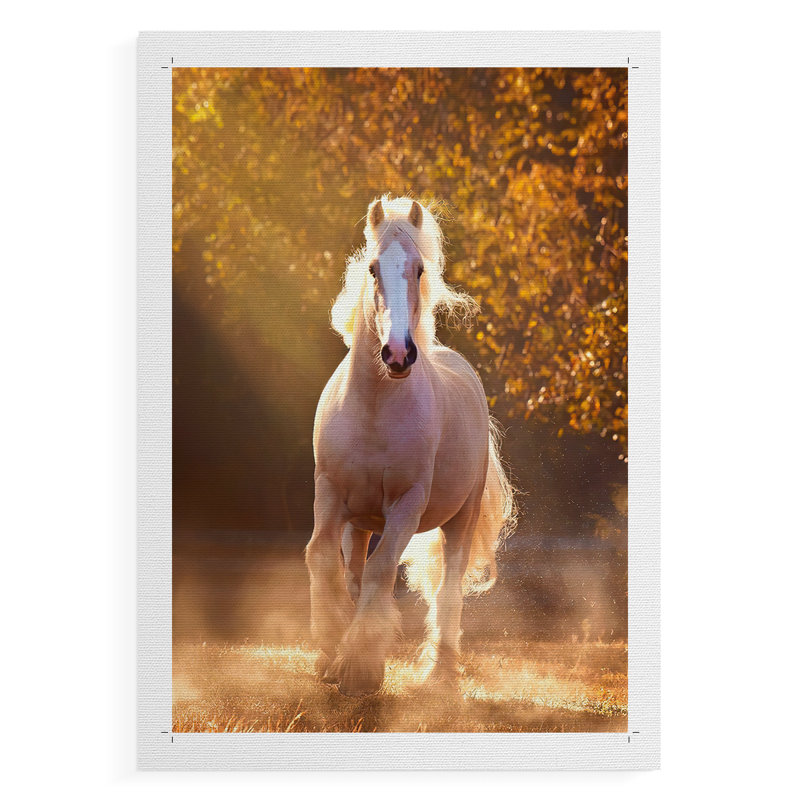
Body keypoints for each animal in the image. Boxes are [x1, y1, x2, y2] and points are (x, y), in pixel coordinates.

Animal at [306, 196, 515, 697]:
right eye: (373, 268)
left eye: (419, 269)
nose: (398, 354)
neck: (374, 409)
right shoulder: (329, 492)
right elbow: (321, 557)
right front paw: (330, 649)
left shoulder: (406, 504)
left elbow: (382, 569)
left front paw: (360, 668)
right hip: (359, 521)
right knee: (353, 571)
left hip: (461, 518)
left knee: (449, 589)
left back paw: (441, 675)